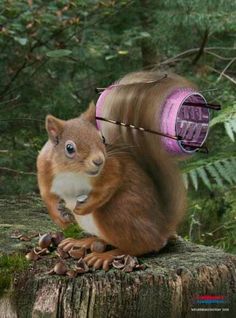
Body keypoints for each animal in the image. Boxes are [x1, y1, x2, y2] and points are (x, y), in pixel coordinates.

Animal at [37, 71, 188, 270]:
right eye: (69, 148)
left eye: (102, 138)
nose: (99, 161)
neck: (73, 172)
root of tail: (161, 228)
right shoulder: (45, 170)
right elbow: (47, 196)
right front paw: (60, 218)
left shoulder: (113, 167)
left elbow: (110, 184)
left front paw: (82, 208)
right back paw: (81, 242)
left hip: (115, 213)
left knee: (141, 246)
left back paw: (104, 256)